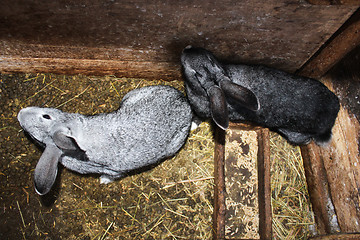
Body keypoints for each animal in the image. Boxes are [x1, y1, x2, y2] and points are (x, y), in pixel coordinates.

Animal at [18, 85, 193, 196]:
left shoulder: (114, 171)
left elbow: (111, 176)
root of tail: (184, 102)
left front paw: (103, 181)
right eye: (36, 139)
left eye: (46, 116)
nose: (20, 113)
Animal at [181, 46, 338, 145]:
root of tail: (333, 115)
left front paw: (192, 126)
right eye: (211, 59)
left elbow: (197, 117)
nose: (187, 49)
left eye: (196, 73)